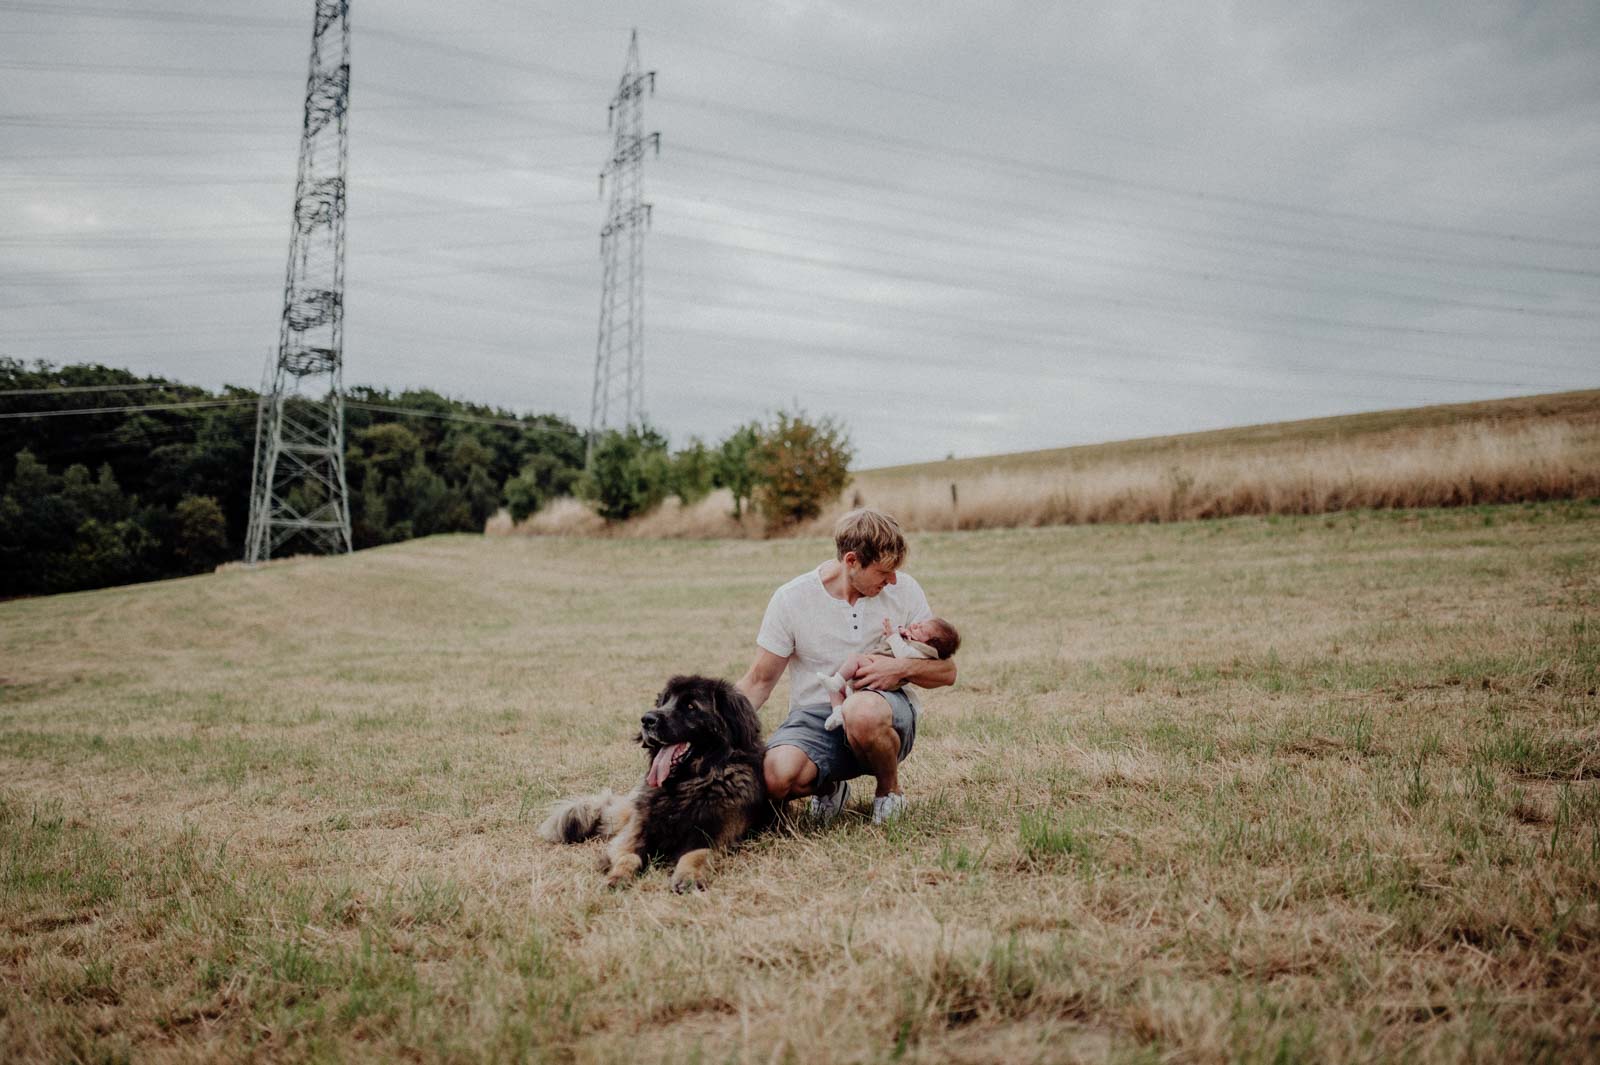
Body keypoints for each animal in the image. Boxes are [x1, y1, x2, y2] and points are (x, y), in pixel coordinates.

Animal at [537, 671, 768, 889]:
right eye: (664, 701)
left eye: (690, 706)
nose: (647, 719)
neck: (685, 784)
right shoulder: (638, 829)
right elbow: (628, 856)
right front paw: (617, 876)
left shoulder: (716, 832)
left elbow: (696, 854)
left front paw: (688, 876)